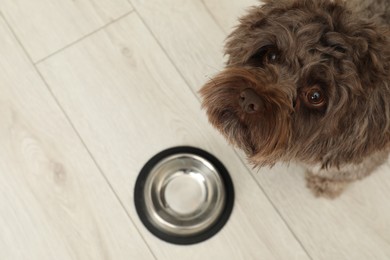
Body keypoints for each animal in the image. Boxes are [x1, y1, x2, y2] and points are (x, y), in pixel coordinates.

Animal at [200, 0, 390, 198]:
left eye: (315, 96)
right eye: (272, 55)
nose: (249, 100)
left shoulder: (363, 156)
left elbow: (345, 171)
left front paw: (327, 184)